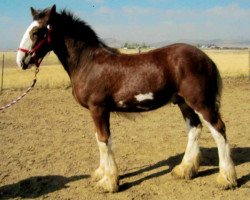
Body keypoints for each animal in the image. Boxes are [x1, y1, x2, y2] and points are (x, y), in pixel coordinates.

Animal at [16, 5, 237, 192]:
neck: (89, 64)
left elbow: (103, 140)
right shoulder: (97, 111)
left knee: (219, 129)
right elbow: (98, 139)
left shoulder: (98, 109)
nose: (21, 61)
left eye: (37, 32)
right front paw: (101, 174)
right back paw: (184, 170)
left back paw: (226, 178)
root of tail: (207, 59)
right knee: (194, 128)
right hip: (184, 103)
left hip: (201, 102)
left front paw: (108, 182)